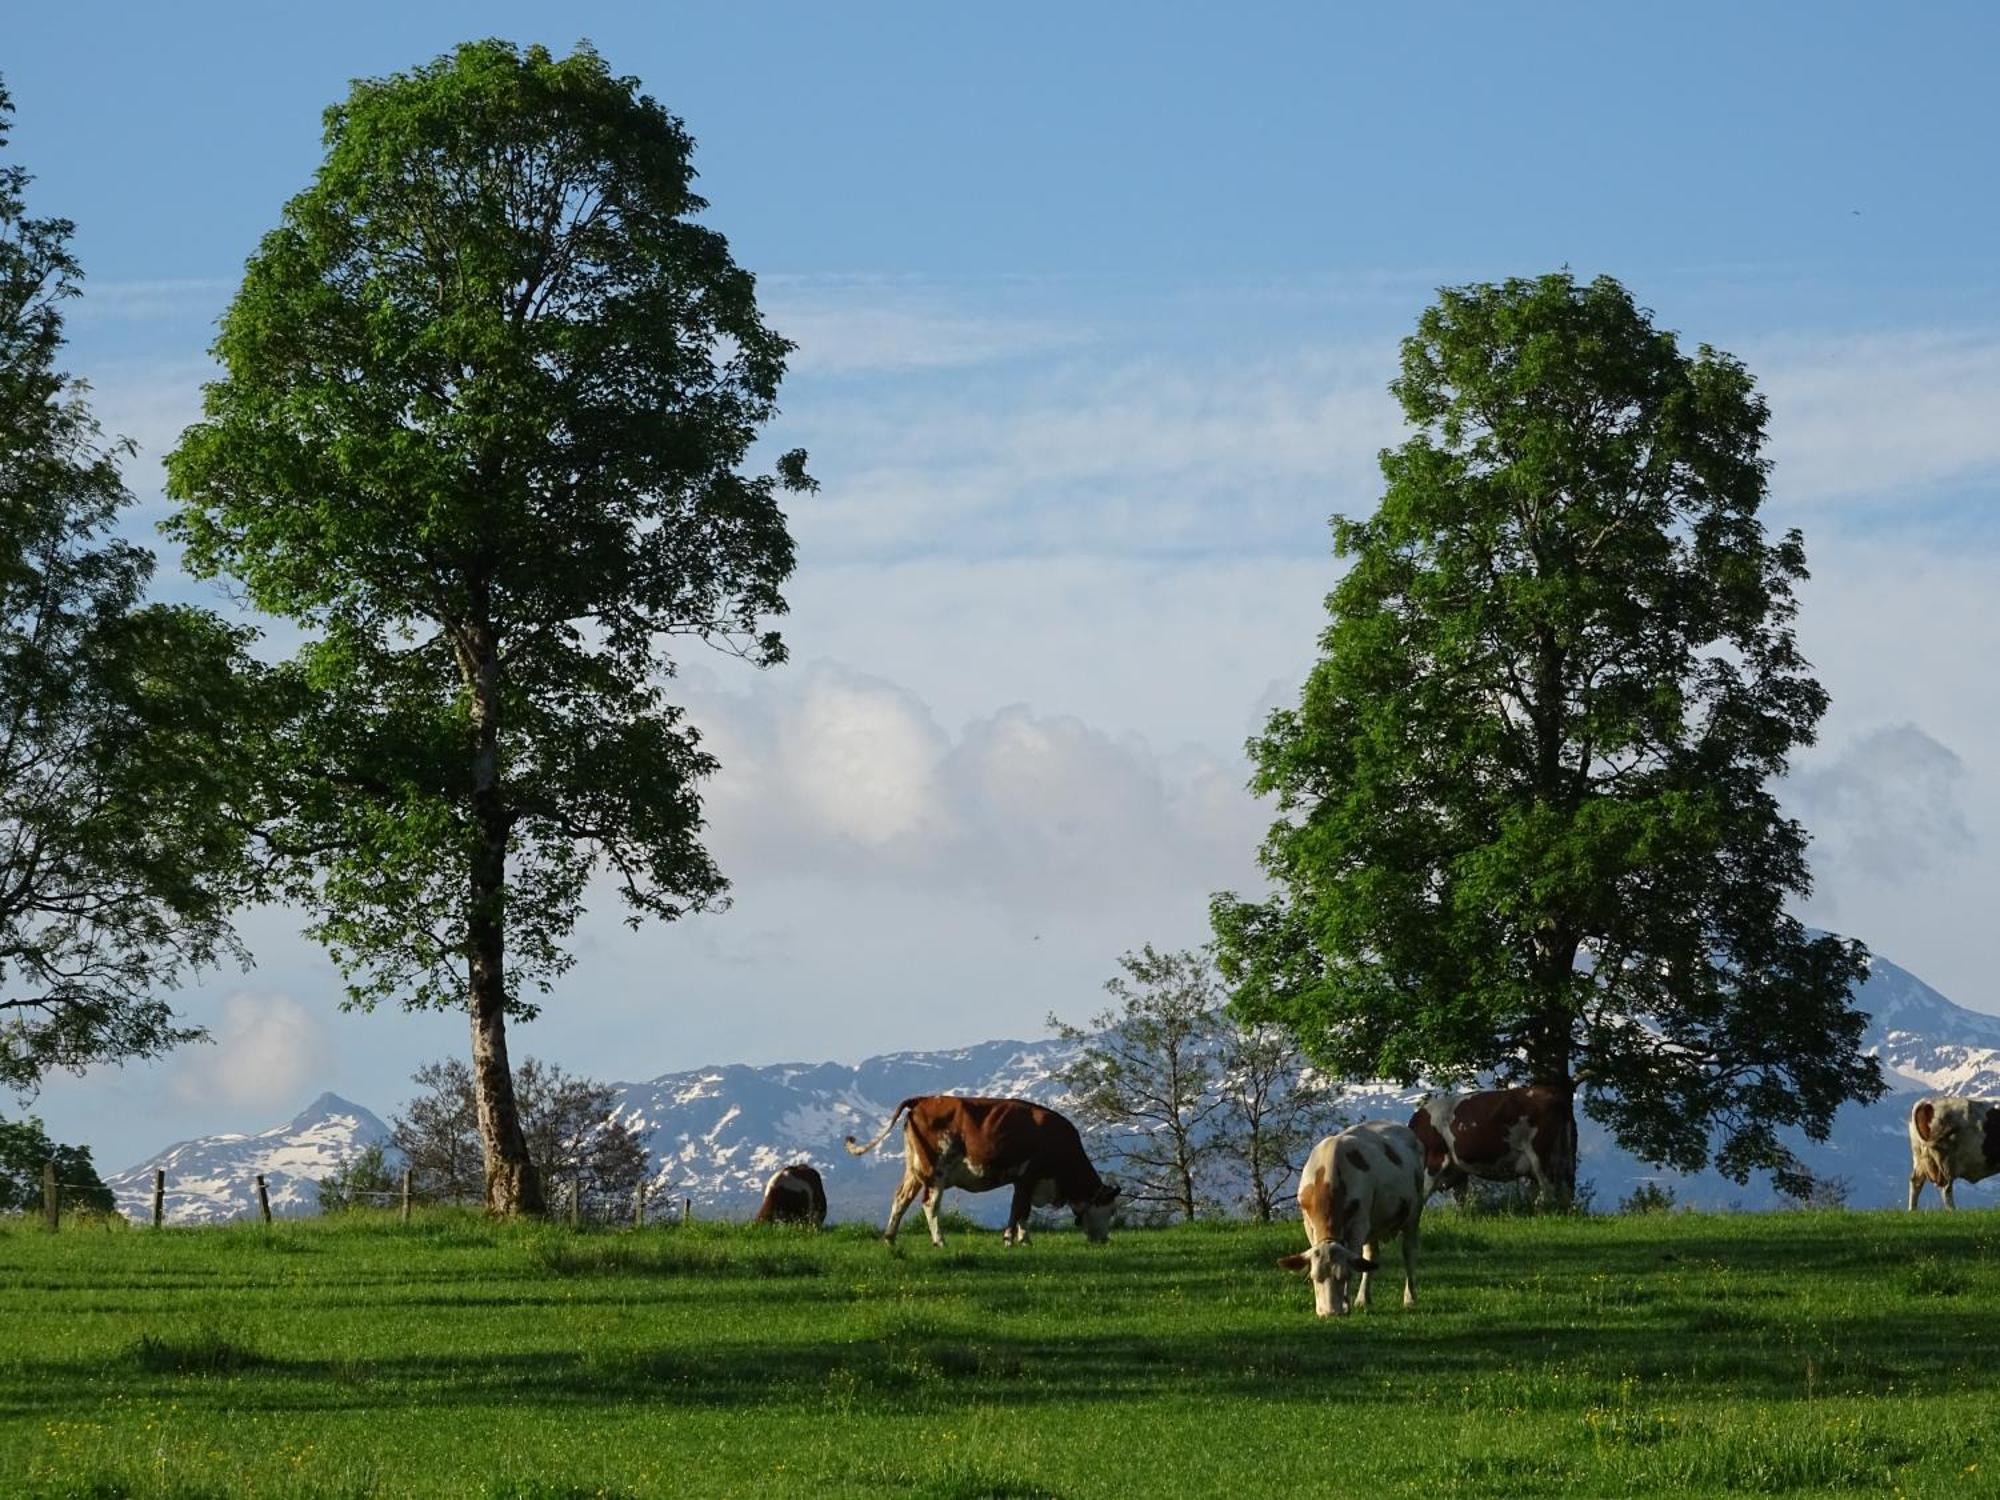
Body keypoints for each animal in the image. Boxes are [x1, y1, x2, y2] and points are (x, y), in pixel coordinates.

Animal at [848, 1096, 1128, 1248]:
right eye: (1110, 1210)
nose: (1105, 1240)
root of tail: (924, 1099)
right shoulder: (1028, 1176)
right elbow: (1020, 1210)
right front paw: (1013, 1240)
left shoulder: (1024, 1181)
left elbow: (1021, 1211)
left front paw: (1021, 1239)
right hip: (936, 1171)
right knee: (929, 1204)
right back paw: (940, 1241)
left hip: (915, 1169)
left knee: (900, 1199)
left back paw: (890, 1238)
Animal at [1272, 1120, 1432, 1320]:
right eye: (1315, 1277)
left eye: (1344, 1276)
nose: (1330, 1313)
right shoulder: (1308, 1223)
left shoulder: (1358, 1224)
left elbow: (1355, 1260)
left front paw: (1346, 1304)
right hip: (1374, 1224)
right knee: (1371, 1254)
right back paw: (1363, 1298)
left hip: (1413, 1212)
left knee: (1408, 1251)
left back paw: (1410, 1298)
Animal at [1408, 1088, 1576, 1208]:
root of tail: (1554, 1097)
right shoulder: (1459, 1171)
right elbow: (1460, 1199)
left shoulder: (1435, 1159)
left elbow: (1423, 1193)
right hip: (1562, 1156)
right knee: (1564, 1188)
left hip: (1540, 1156)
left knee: (1548, 1189)